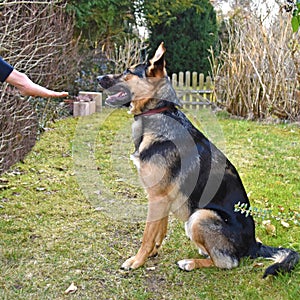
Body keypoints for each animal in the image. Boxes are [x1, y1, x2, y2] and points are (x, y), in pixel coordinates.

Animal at [97, 42, 298, 278]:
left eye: (127, 72)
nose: (98, 77)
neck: (159, 111)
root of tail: (253, 245)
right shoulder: (162, 198)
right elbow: (159, 230)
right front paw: (153, 253)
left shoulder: (157, 197)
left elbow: (147, 235)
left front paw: (136, 261)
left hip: (199, 217)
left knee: (227, 262)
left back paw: (190, 263)